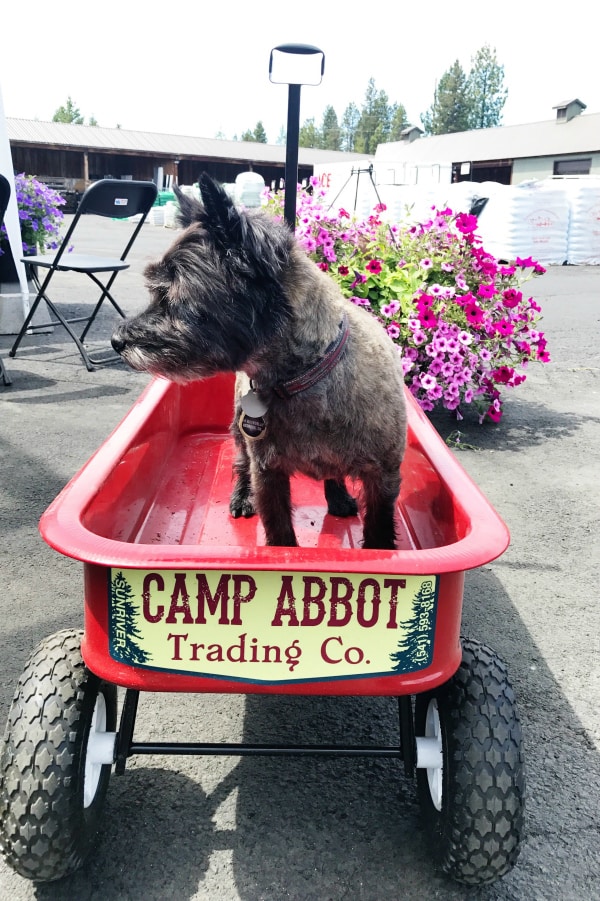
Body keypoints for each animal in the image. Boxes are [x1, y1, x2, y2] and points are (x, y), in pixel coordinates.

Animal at [110, 172, 406, 544]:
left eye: (174, 297)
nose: (116, 340)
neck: (301, 378)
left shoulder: (383, 478)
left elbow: (379, 534)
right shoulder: (267, 471)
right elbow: (279, 534)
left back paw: (337, 495)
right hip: (239, 434)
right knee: (240, 465)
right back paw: (241, 496)